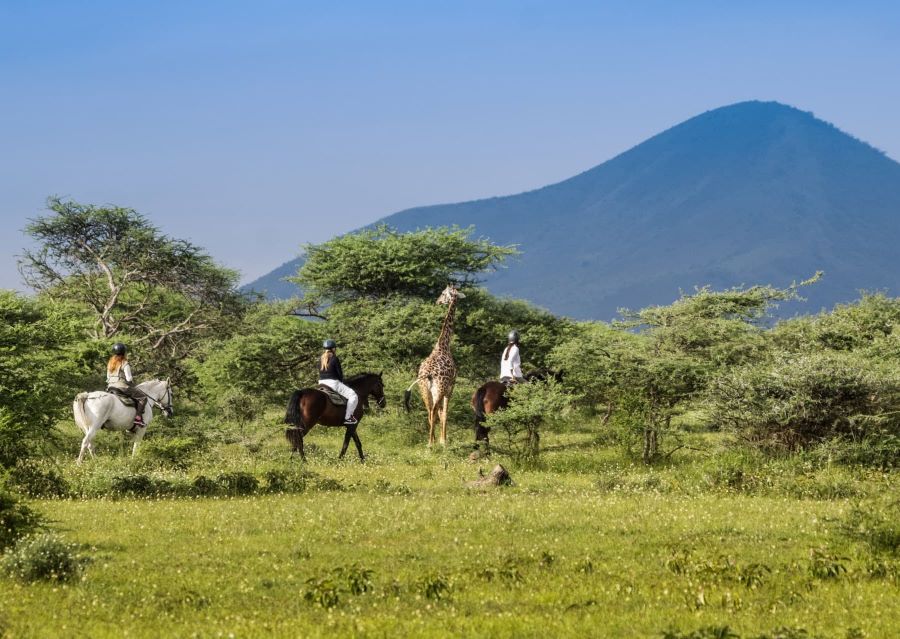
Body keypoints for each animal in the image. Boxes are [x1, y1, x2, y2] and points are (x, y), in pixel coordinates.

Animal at [414, 284, 464, 444]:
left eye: (442, 293)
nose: (437, 301)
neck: (443, 345)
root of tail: (428, 374)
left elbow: (441, 412)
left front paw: (441, 440)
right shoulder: (451, 387)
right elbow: (445, 412)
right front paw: (444, 441)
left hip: (424, 390)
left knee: (429, 411)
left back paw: (431, 441)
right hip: (438, 389)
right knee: (435, 410)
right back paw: (431, 443)